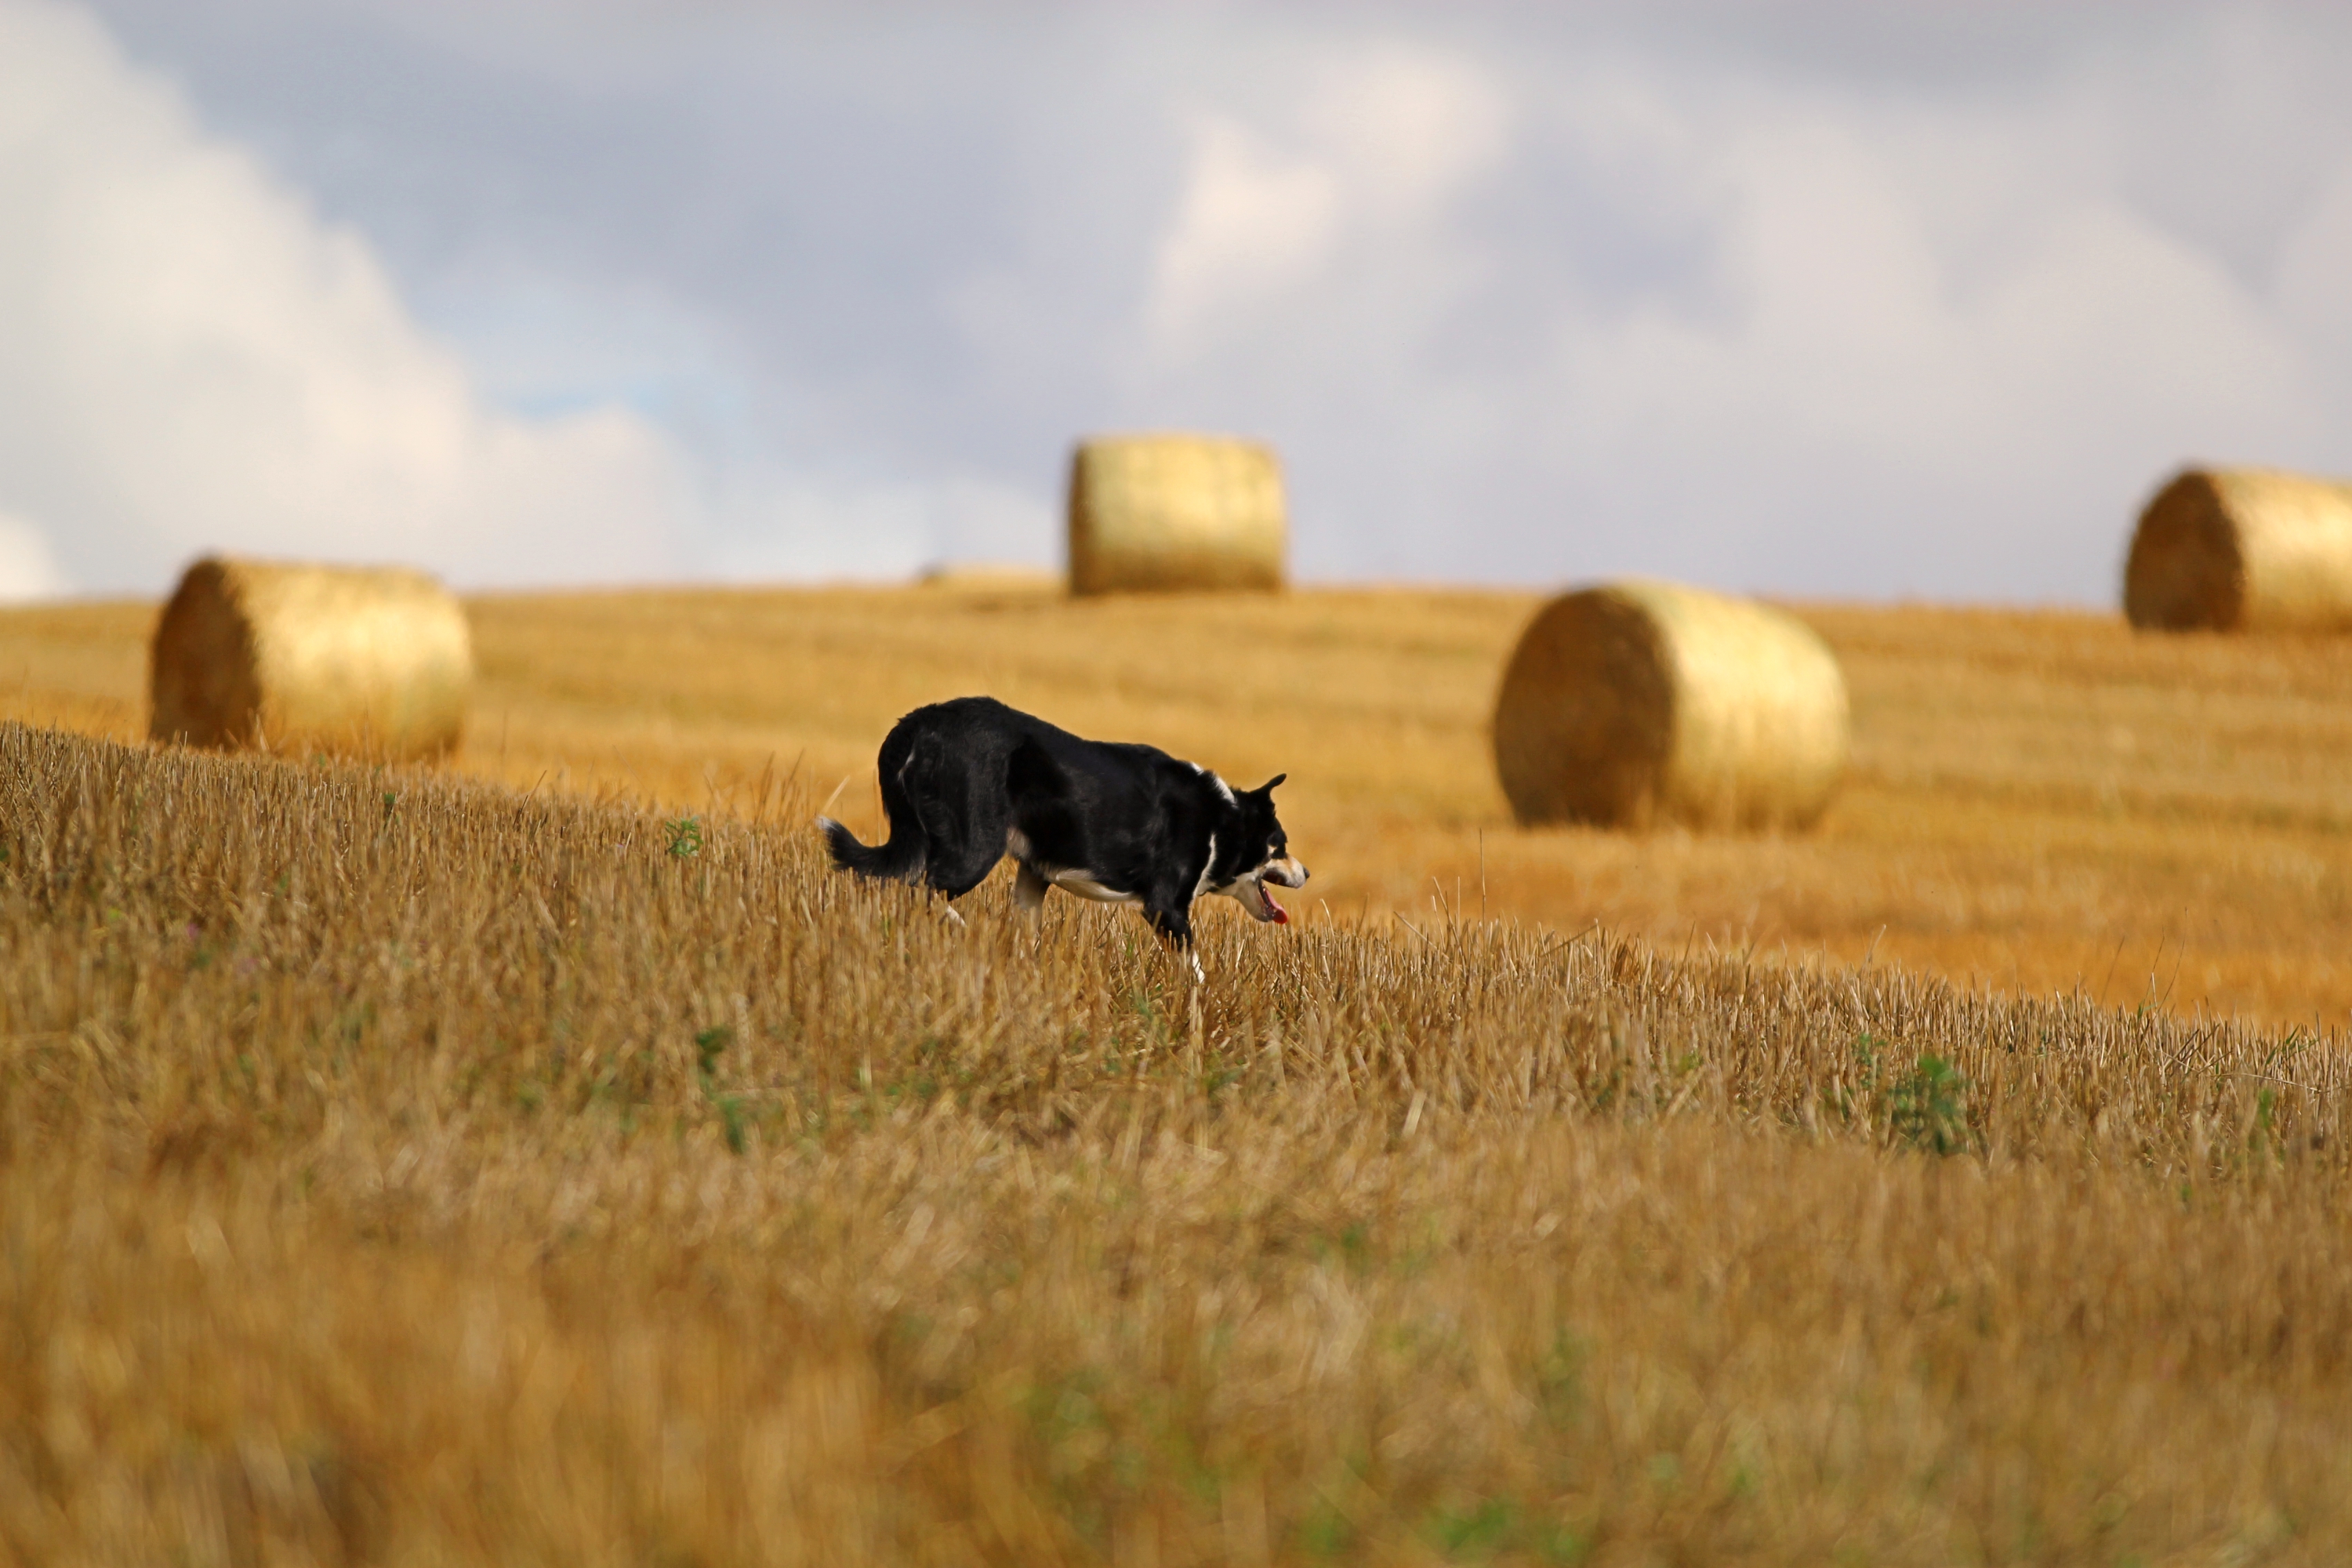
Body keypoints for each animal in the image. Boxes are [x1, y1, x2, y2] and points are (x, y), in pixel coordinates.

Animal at [818, 696, 1306, 965]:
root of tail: (916, 723)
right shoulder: (1166, 907)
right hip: (972, 850)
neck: (1222, 820)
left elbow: (1027, 934)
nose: (1306, 873)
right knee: (918, 890)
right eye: (1280, 846)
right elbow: (1195, 972)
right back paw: (962, 930)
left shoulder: (1034, 875)